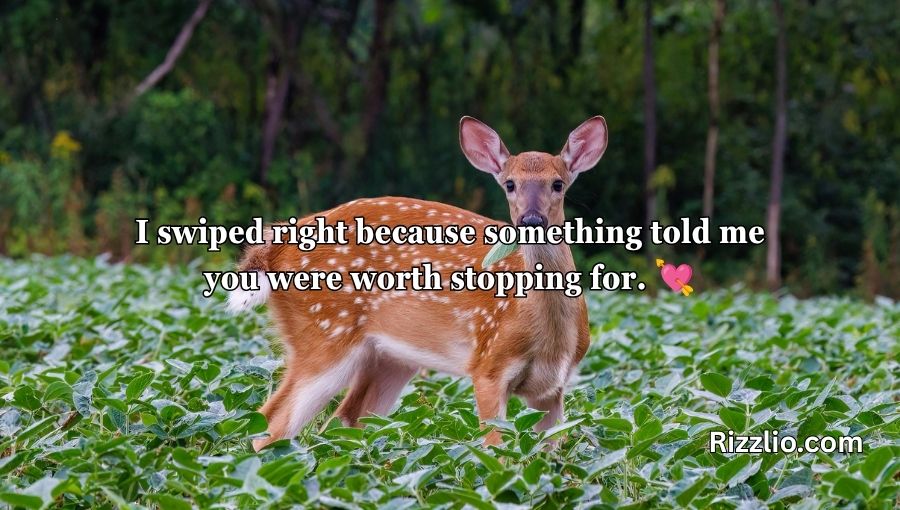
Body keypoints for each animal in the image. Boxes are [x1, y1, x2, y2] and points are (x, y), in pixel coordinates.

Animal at [228, 116, 608, 451]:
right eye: (509, 184)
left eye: (557, 184)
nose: (531, 220)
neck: (549, 336)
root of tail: (276, 245)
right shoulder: (488, 365)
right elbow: (495, 450)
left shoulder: (554, 388)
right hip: (325, 333)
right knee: (273, 423)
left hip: (389, 359)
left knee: (341, 422)